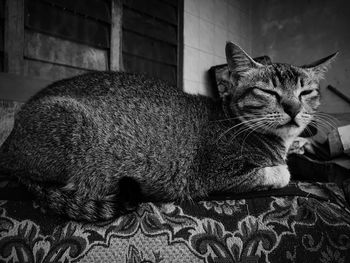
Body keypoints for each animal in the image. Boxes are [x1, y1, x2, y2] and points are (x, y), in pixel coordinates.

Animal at [0, 43, 340, 223]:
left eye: (306, 92)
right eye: (268, 91)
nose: (293, 108)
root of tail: (9, 148)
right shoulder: (213, 176)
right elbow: (277, 173)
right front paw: (283, 170)